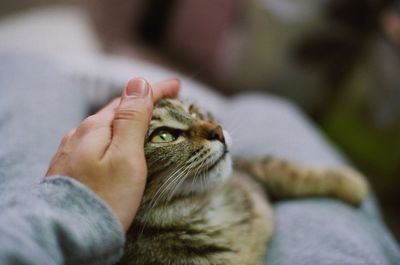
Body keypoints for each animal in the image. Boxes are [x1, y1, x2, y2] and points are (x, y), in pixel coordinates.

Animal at [119, 98, 368, 262]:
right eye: (163, 136)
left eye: (195, 112)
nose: (218, 131)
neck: (207, 206)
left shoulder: (252, 170)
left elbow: (286, 171)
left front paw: (350, 182)